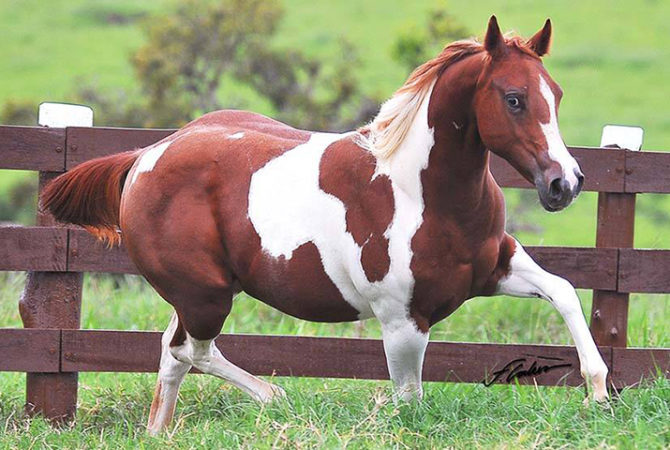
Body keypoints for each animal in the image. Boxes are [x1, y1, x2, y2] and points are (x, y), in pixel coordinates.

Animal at [41, 16, 609, 434]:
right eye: (513, 98)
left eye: (555, 95)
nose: (565, 183)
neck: (423, 194)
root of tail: (147, 155)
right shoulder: (403, 320)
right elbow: (409, 403)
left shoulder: (498, 268)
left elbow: (564, 291)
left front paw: (600, 395)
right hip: (206, 294)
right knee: (191, 349)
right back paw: (277, 398)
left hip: (196, 297)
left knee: (172, 353)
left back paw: (159, 432)